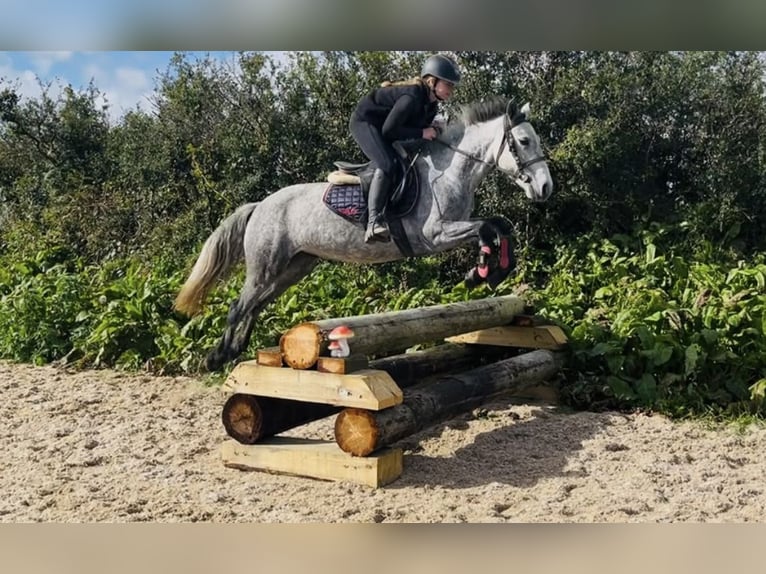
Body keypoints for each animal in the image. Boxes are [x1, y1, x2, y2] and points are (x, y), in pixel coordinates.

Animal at [174, 96, 554, 372]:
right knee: (240, 305)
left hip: (294, 268)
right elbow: (488, 228)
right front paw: (482, 273)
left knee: (255, 305)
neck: (450, 171)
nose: (546, 188)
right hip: (266, 265)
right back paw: (216, 358)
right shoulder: (435, 235)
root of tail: (260, 205)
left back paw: (235, 350)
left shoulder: (454, 229)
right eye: (523, 141)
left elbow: (499, 226)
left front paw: (487, 272)